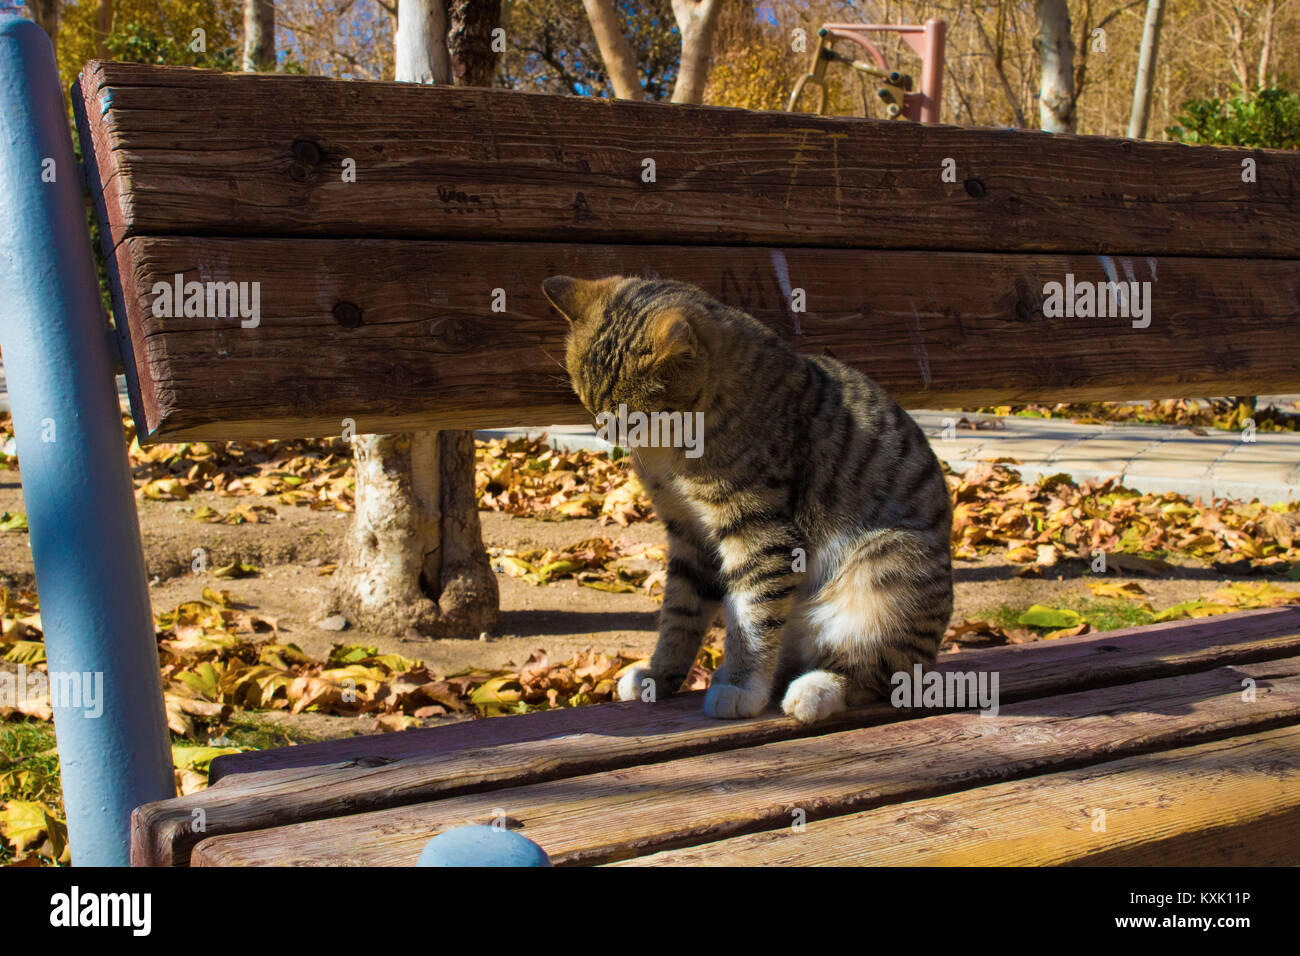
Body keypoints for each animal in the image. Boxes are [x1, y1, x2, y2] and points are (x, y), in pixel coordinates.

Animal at [540, 273, 956, 723]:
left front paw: (740, 686)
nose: (603, 433)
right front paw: (660, 675)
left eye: (630, 416)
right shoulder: (689, 536)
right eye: (586, 403)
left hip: (889, 567)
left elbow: (753, 618)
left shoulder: (760, 533)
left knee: (880, 673)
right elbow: (680, 615)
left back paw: (817, 689)